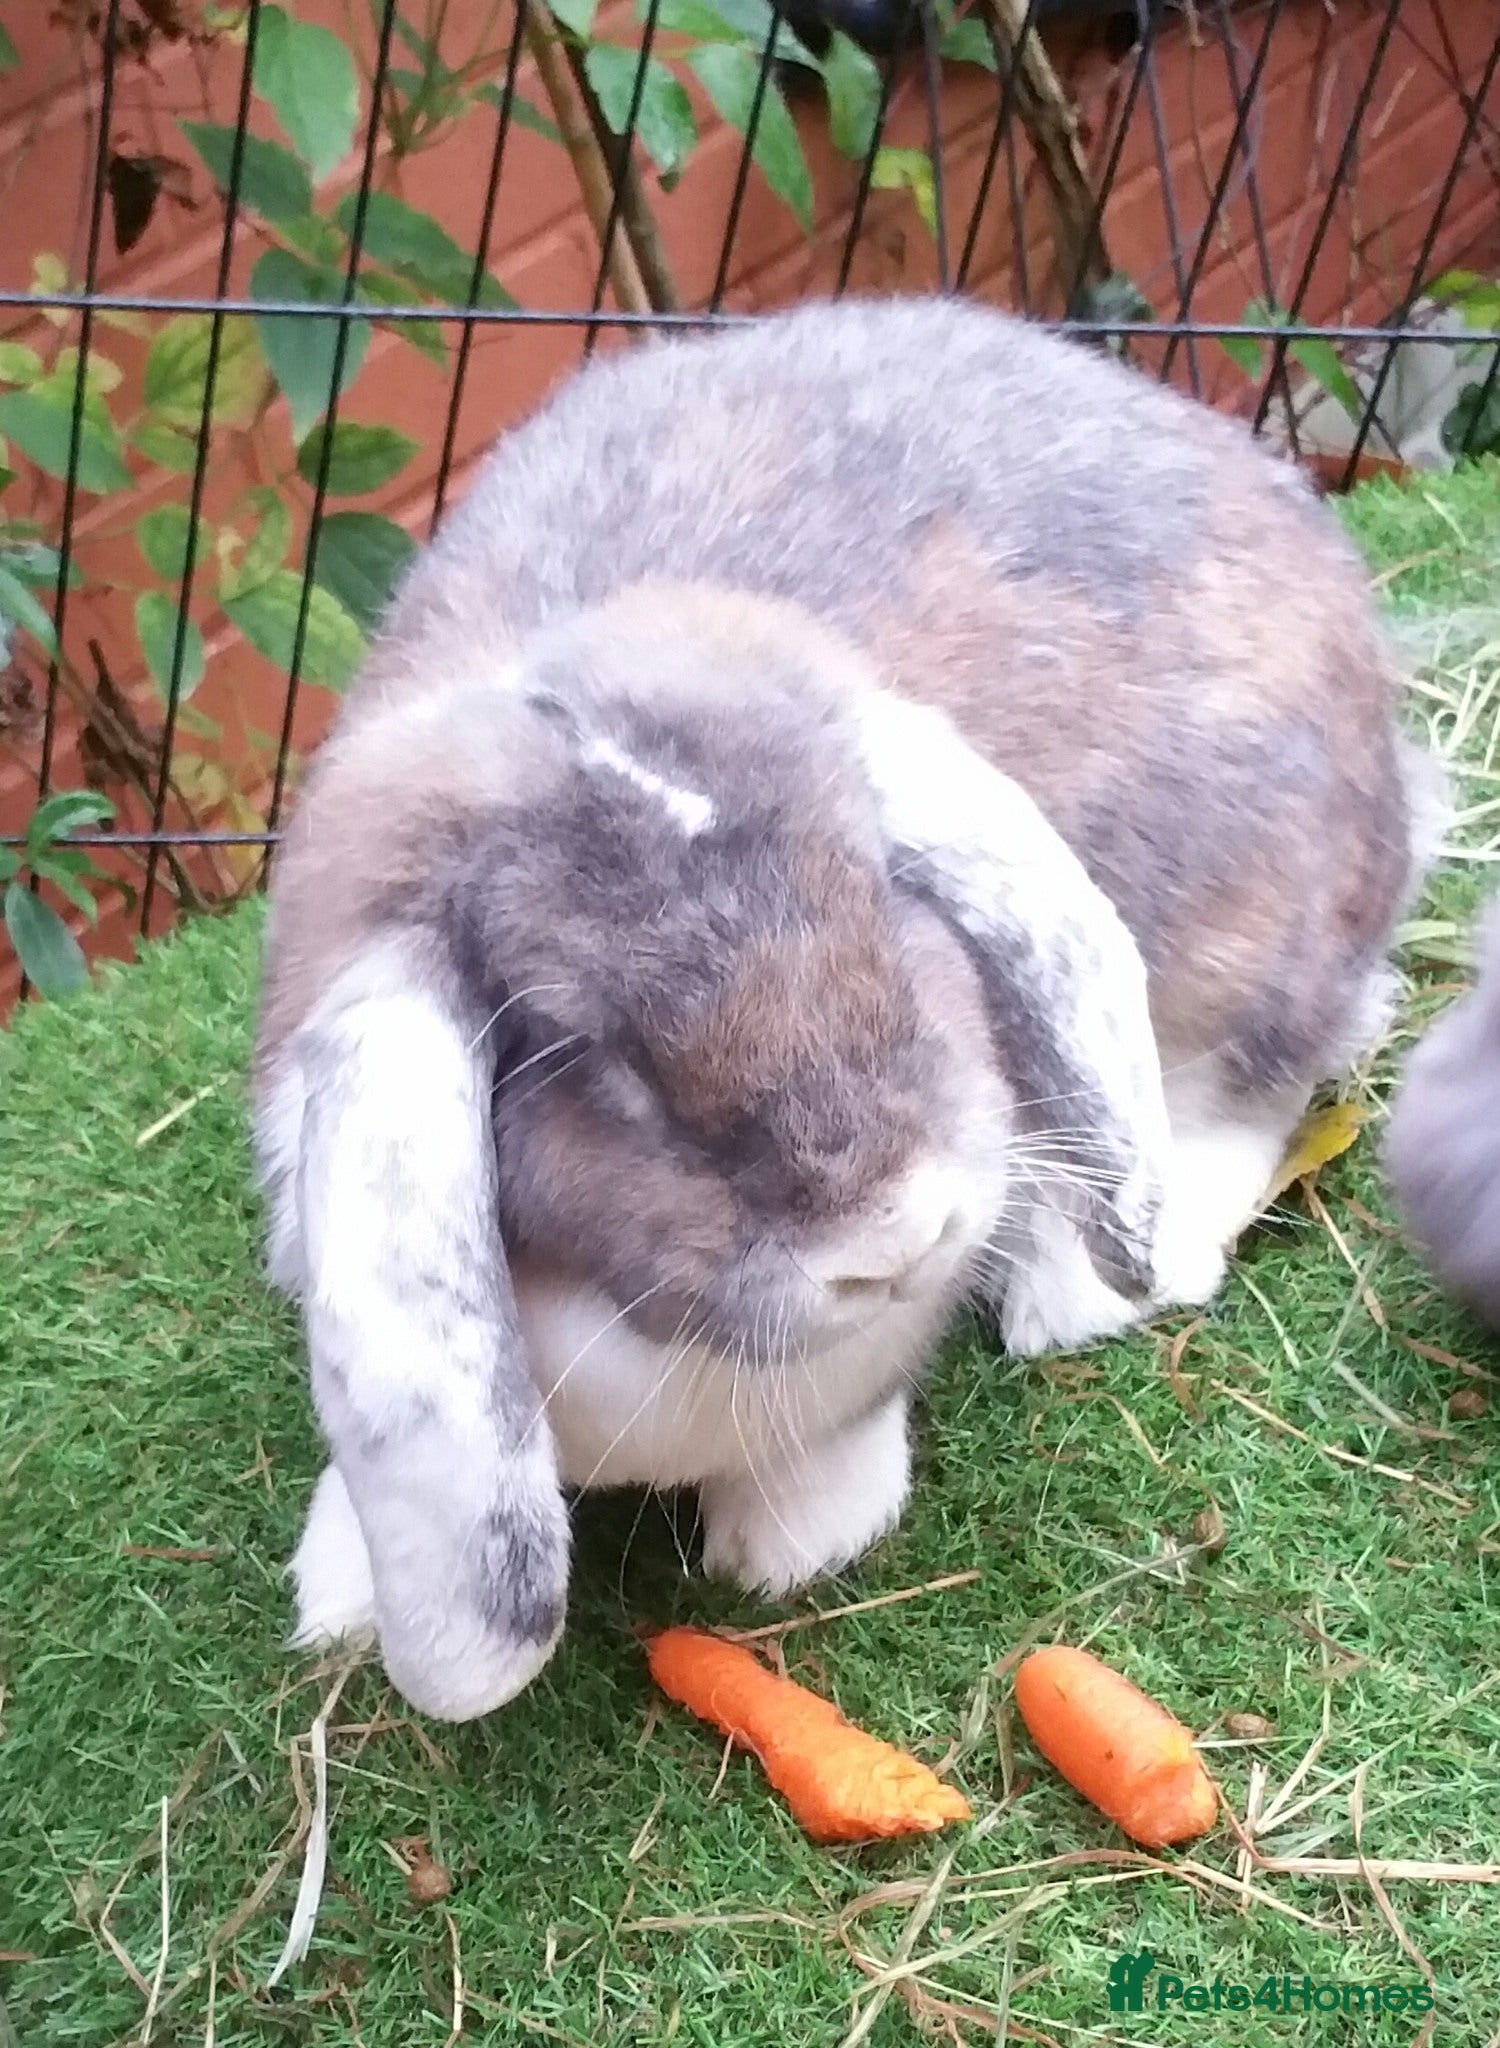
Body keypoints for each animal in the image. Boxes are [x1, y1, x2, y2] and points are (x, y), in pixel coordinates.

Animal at [254, 295, 1436, 1722]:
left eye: (881, 885)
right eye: (583, 1045)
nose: (899, 1233)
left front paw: (791, 1545)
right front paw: (336, 1604)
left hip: (1251, 927)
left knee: (1263, 1077)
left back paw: (1089, 1282)